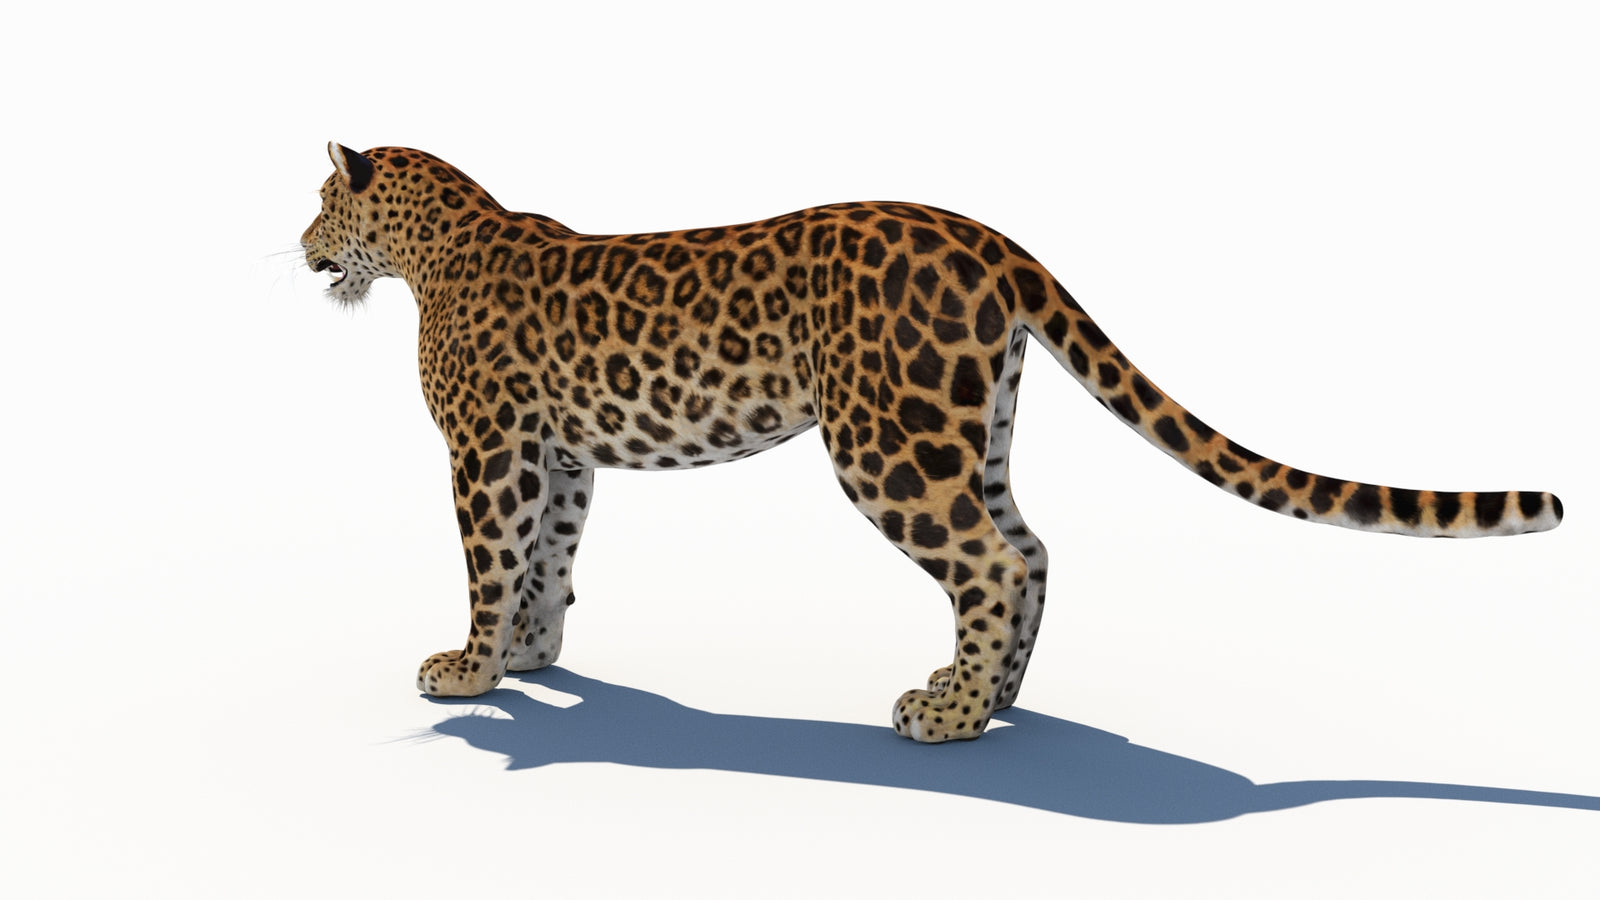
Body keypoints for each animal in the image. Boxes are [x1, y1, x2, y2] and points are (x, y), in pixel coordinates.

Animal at [302, 142, 1563, 743]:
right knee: (1029, 547)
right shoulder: (555, 450)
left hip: (890, 440)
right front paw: (530, 657)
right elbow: (549, 558)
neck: (431, 246)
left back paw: (949, 721)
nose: (302, 244)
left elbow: (490, 557)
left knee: (994, 559)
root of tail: (985, 236)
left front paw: (469, 670)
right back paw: (988, 695)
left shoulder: (487, 448)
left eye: (320, 199)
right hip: (967, 423)